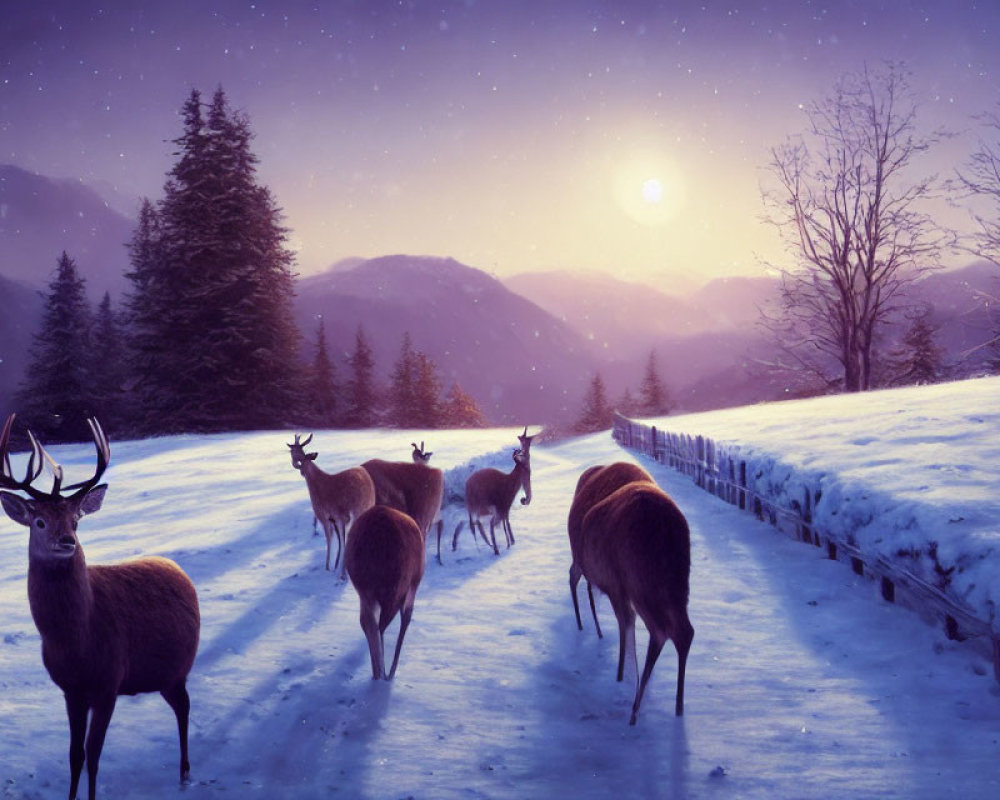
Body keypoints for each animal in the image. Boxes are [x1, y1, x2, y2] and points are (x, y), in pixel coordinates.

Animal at [0, 416, 201, 796]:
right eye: (40, 521)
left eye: (76, 519)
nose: (68, 541)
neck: (77, 640)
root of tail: (177, 569)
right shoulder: (72, 690)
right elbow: (74, 756)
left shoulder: (110, 680)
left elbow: (93, 755)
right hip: (161, 674)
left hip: (178, 665)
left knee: (184, 707)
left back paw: (185, 774)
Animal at [288, 434, 376, 580]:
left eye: (294, 452)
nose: (296, 465)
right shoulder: (334, 519)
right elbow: (338, 541)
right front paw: (335, 566)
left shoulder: (325, 515)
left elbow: (330, 540)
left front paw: (328, 568)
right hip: (367, 506)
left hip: (356, 509)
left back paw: (345, 573)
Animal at [346, 504, 424, 680]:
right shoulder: (412, 585)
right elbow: (406, 618)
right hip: (400, 587)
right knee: (384, 624)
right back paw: (385, 674)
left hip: (364, 587)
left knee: (368, 623)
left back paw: (377, 674)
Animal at [580, 476, 696, 724]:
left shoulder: (615, 584)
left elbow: (626, 626)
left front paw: (620, 676)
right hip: (676, 584)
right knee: (684, 631)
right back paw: (677, 708)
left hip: (638, 579)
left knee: (660, 629)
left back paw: (636, 709)